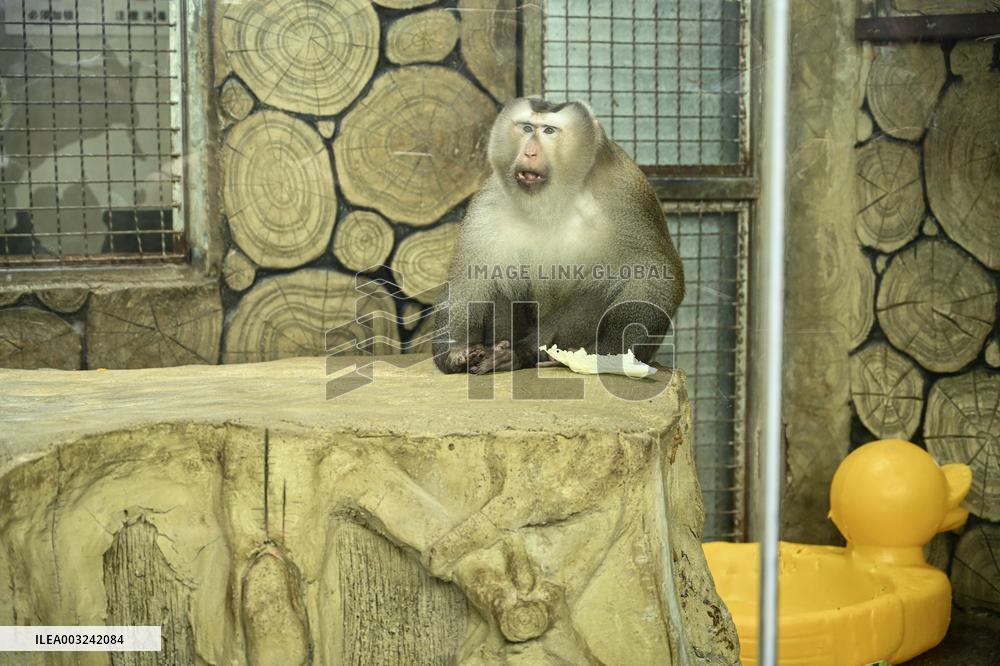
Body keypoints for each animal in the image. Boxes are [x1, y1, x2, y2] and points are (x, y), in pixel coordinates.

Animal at [432, 98, 684, 374]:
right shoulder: (490, 199)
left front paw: (606, 355)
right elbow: (470, 275)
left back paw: (524, 353)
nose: (529, 153)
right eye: (527, 128)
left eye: (549, 131)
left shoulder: (626, 195)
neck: (554, 198)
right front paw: (455, 354)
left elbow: (654, 276)